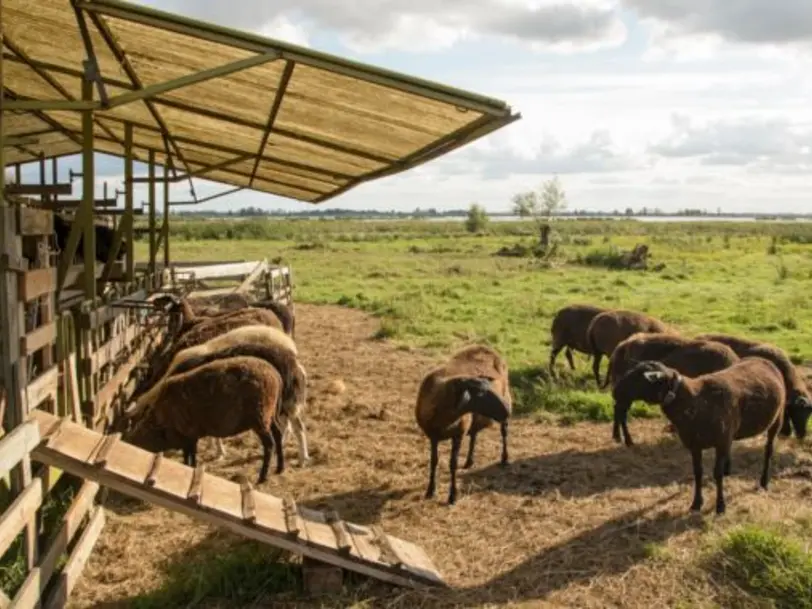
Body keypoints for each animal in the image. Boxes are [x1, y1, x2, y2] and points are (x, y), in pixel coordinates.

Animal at [120, 354, 286, 482]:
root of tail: (276, 375)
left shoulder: (189, 434)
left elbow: (191, 455)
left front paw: (190, 468)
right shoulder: (188, 437)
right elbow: (189, 454)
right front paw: (187, 467)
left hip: (260, 417)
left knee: (269, 444)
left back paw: (262, 477)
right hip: (271, 414)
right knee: (279, 434)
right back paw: (280, 468)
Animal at [416, 344, 510, 506]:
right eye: (479, 393)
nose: (507, 410)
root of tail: (485, 347)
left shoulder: (458, 435)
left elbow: (452, 464)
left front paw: (452, 496)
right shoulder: (433, 436)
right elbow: (434, 461)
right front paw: (430, 491)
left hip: (506, 398)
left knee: (504, 432)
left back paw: (504, 459)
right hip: (475, 417)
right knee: (474, 434)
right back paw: (469, 461)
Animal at [608, 332, 744, 446]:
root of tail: (621, 347)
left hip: (624, 398)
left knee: (618, 410)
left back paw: (617, 437)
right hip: (625, 398)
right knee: (621, 413)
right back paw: (628, 441)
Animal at [612, 354, 788, 516]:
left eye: (639, 378)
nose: (615, 392)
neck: (694, 402)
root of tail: (762, 358)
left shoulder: (721, 441)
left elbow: (716, 474)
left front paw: (720, 506)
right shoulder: (695, 444)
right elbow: (698, 472)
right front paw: (696, 503)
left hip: (777, 420)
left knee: (768, 450)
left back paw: (764, 482)